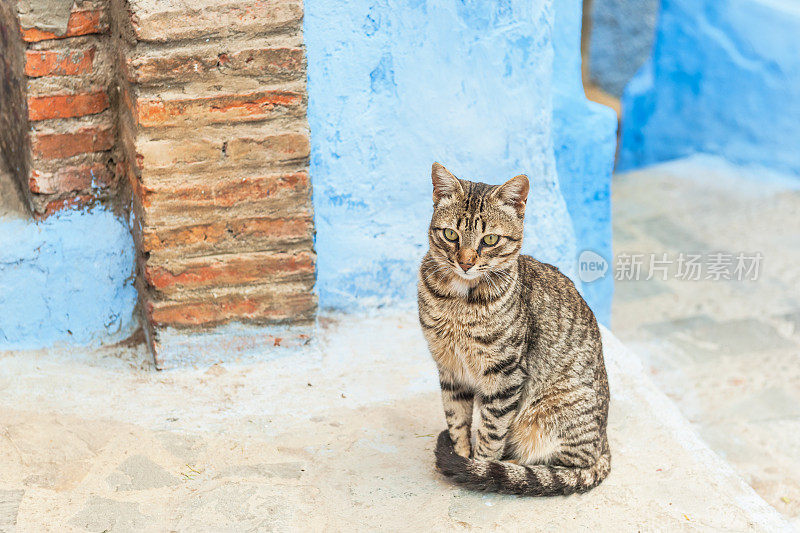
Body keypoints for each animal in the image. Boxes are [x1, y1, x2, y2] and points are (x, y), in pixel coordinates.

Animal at [416, 161, 608, 494]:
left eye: (490, 240)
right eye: (451, 234)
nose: (465, 262)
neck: (458, 301)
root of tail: (606, 439)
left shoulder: (505, 374)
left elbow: (491, 432)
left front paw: (478, 468)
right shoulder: (450, 368)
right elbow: (456, 419)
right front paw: (461, 455)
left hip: (553, 414)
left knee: (567, 465)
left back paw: (514, 466)